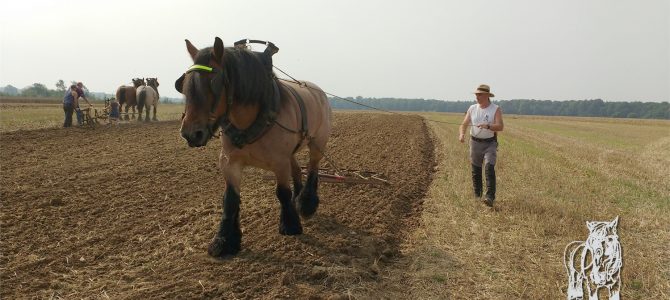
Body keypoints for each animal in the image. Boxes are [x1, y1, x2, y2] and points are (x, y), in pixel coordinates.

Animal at [177, 38, 332, 258]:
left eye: (213, 84)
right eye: (185, 85)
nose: (191, 133)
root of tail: (317, 90)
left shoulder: (279, 162)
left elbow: (282, 192)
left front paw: (290, 225)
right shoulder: (229, 163)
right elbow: (230, 200)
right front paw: (224, 240)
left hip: (318, 142)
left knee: (313, 168)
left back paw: (306, 203)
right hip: (291, 152)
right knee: (297, 170)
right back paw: (299, 198)